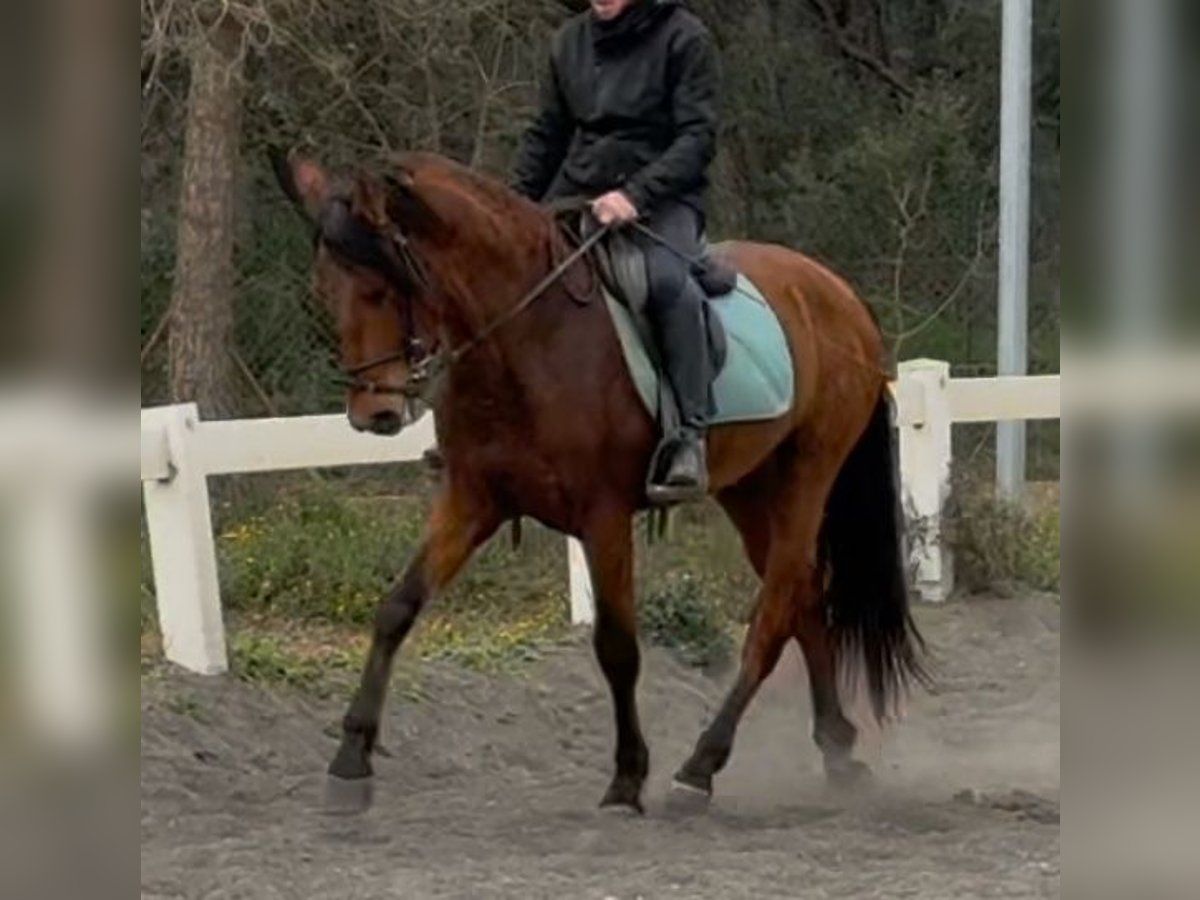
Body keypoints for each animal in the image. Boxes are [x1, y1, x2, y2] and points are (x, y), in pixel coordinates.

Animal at [272, 150, 926, 816]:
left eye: (385, 286)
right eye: (326, 290)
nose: (373, 414)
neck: (527, 337)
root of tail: (837, 293)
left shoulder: (602, 515)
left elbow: (617, 646)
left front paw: (627, 777)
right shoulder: (470, 499)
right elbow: (397, 608)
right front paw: (350, 761)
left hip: (808, 475)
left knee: (774, 614)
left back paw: (701, 767)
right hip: (748, 488)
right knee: (803, 599)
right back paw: (837, 749)